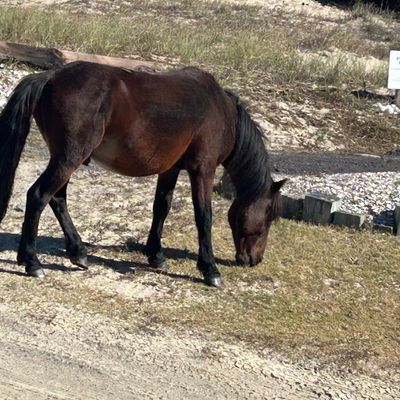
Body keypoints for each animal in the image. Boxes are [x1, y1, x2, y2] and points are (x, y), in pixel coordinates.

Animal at [0, 61, 285, 287]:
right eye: (269, 216)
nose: (254, 259)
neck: (221, 111)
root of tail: (51, 76)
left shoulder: (170, 170)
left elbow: (161, 208)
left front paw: (156, 255)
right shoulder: (203, 170)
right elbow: (204, 217)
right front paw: (209, 269)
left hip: (65, 158)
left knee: (57, 199)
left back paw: (77, 252)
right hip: (69, 158)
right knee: (38, 196)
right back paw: (32, 261)